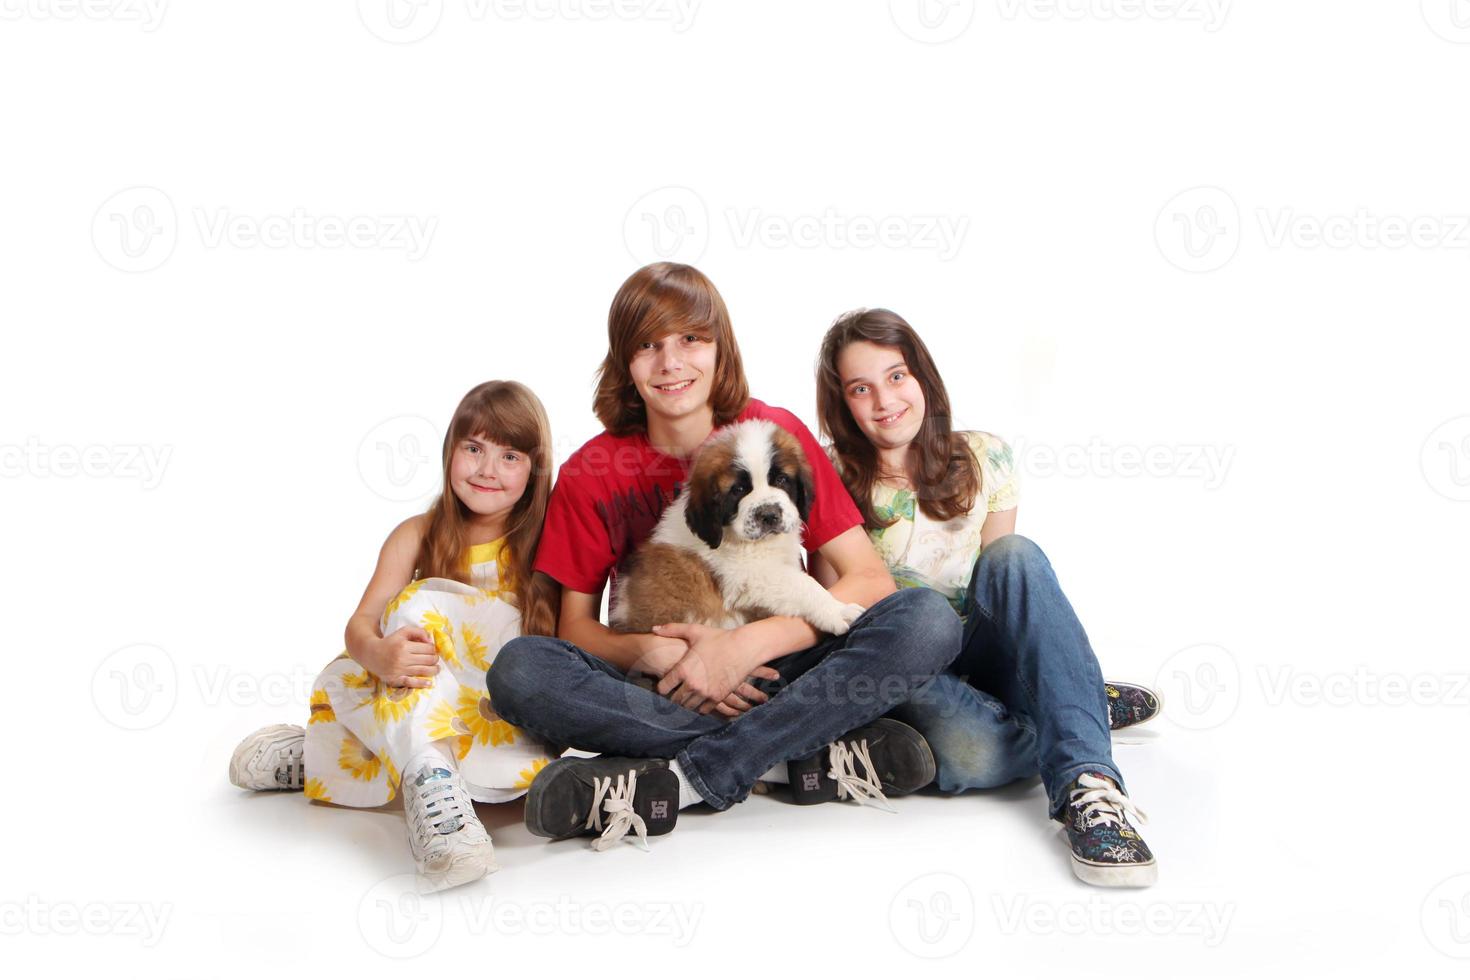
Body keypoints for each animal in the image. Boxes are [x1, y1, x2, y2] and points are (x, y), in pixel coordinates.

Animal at [605, 420, 864, 637]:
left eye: (781, 480)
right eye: (738, 490)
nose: (769, 515)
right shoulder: (748, 576)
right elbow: (803, 584)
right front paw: (838, 611)